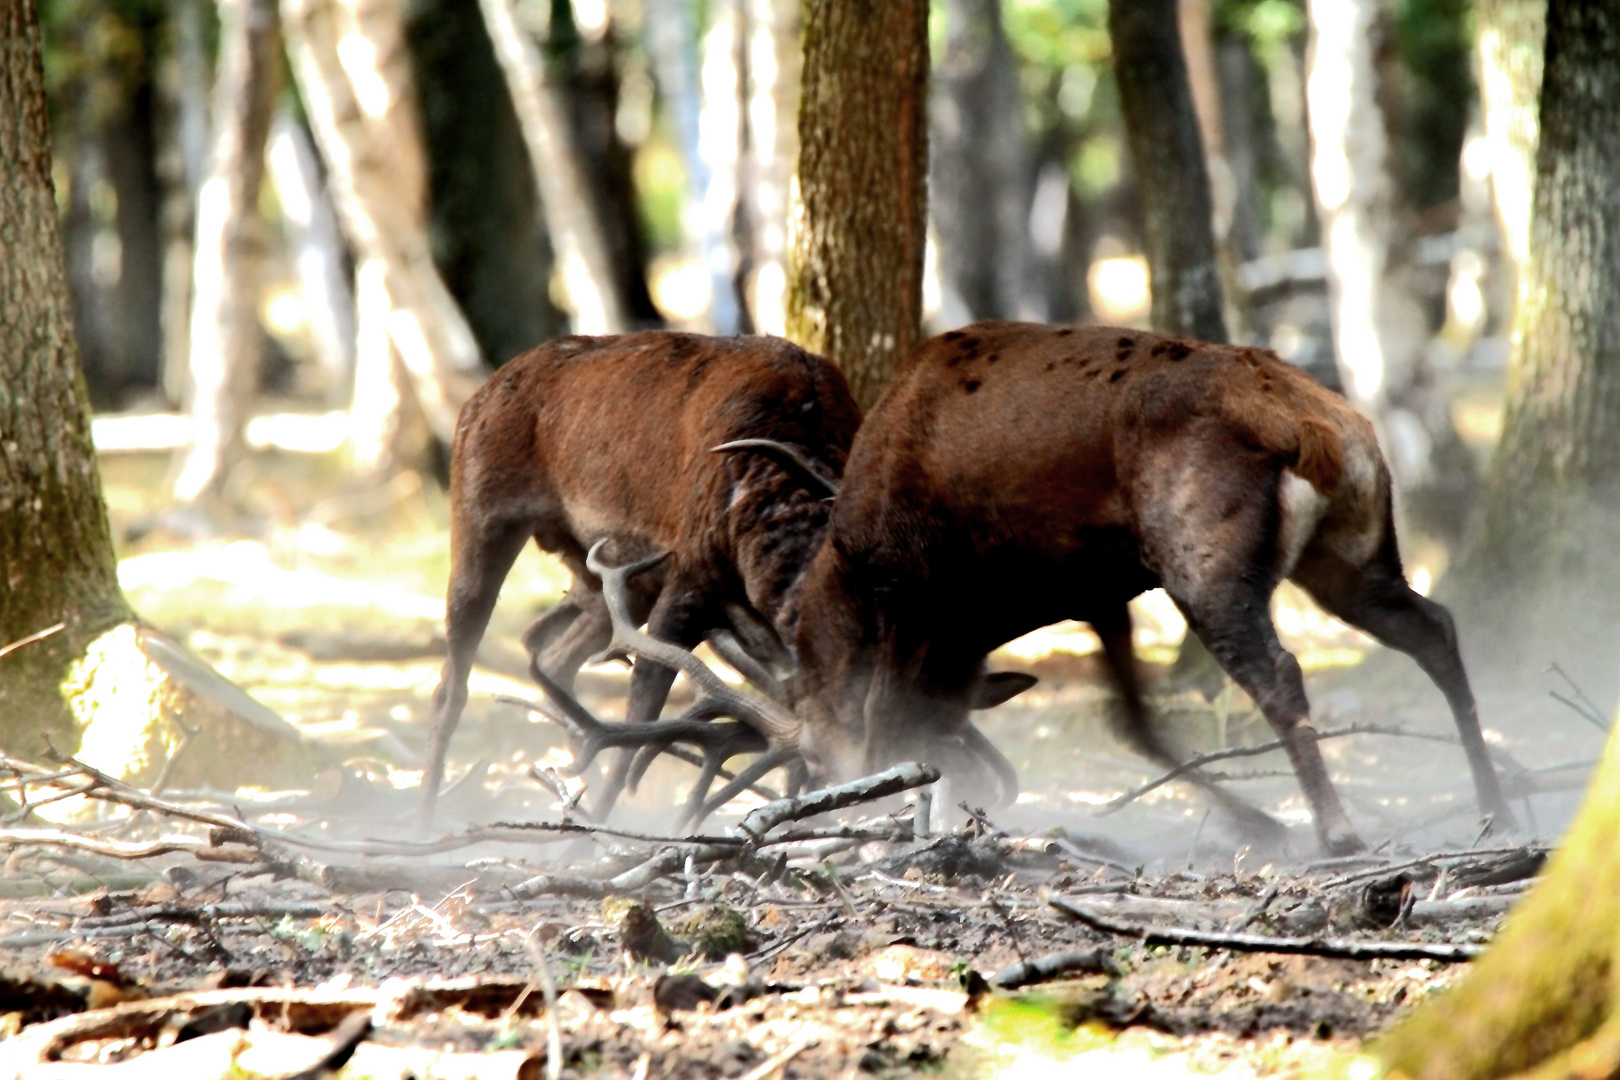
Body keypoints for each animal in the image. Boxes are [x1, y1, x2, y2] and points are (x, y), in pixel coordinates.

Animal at [787, 320, 1516, 854]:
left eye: (814, 756)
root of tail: (1316, 430)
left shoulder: (906, 592)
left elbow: (882, 718)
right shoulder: (1097, 595)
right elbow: (1134, 722)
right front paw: (1254, 821)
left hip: (1203, 566)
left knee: (1280, 673)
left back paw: (1339, 829)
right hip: (1351, 558)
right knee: (1435, 628)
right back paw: (1497, 808)